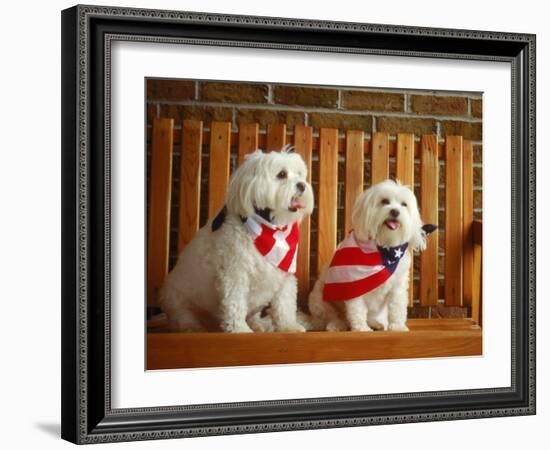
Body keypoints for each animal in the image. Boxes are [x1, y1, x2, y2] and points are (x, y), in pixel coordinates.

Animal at [160, 149, 314, 332]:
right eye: (282, 174)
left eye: (299, 175)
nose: (302, 185)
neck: (270, 226)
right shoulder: (235, 271)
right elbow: (235, 302)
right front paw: (239, 329)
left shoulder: (285, 271)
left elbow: (284, 303)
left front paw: (288, 326)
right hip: (179, 304)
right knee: (185, 319)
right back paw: (194, 328)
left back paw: (258, 324)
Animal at [310, 178, 436, 330]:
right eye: (384, 201)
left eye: (404, 204)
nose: (395, 211)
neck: (383, 249)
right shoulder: (353, 284)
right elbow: (357, 309)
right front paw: (361, 329)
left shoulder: (398, 285)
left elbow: (397, 307)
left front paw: (397, 327)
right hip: (319, 301)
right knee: (332, 316)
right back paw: (336, 325)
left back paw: (377, 323)